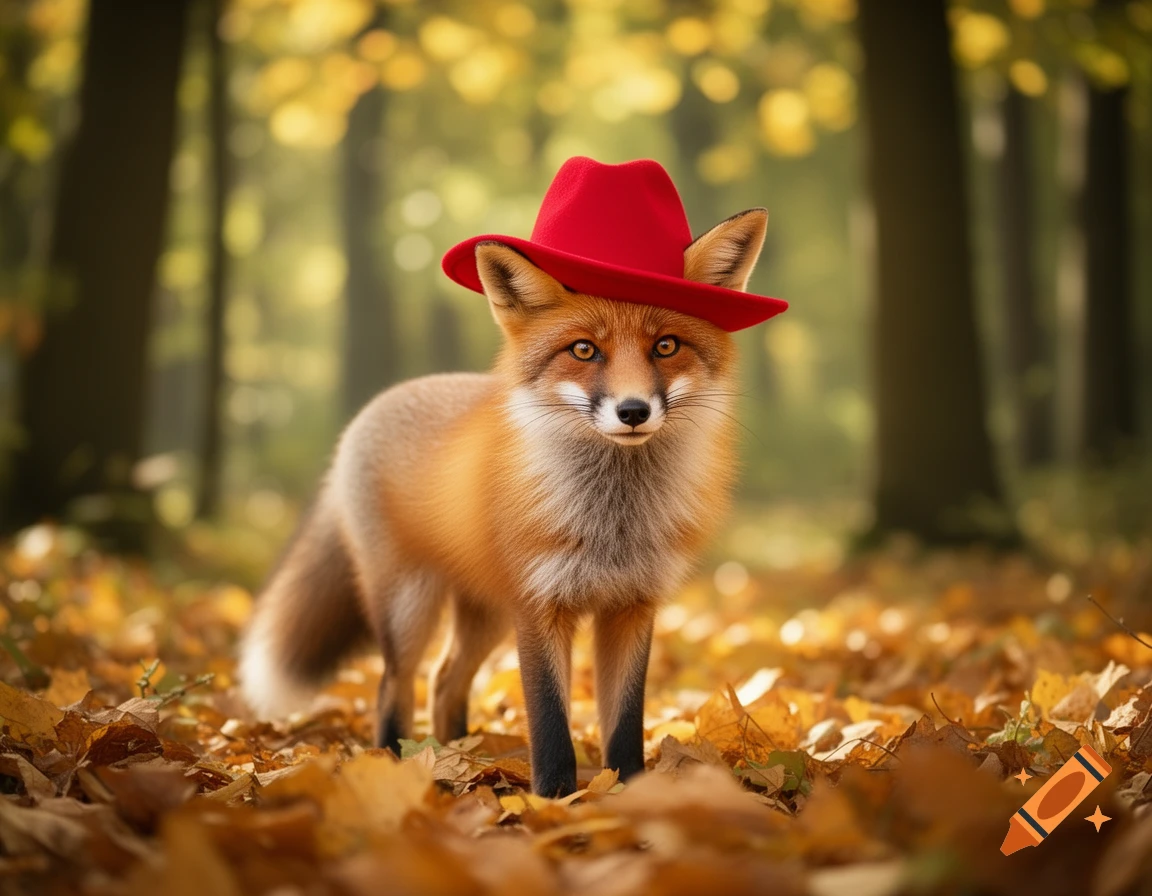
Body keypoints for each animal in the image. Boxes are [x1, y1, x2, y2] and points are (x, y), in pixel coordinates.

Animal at [239, 207, 768, 797]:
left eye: (667, 346)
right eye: (584, 349)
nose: (633, 411)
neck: (612, 521)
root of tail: (373, 408)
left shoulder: (632, 605)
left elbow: (626, 720)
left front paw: (627, 792)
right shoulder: (538, 607)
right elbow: (550, 722)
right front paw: (555, 800)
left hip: (486, 613)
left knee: (444, 681)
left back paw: (457, 760)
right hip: (410, 605)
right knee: (393, 686)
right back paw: (398, 767)